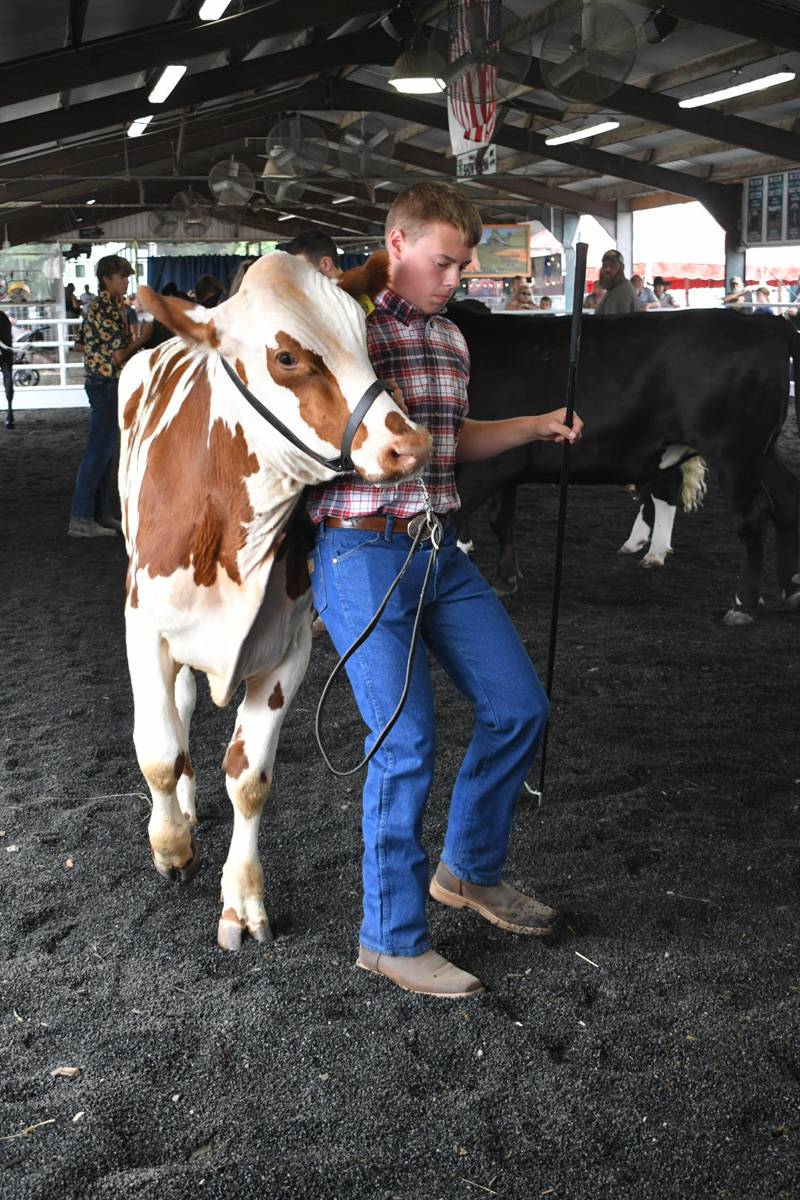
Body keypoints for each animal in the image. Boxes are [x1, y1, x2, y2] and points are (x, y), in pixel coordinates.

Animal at [118, 253, 431, 945]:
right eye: (287, 357)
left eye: (366, 338)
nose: (411, 446)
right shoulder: (143, 626)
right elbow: (158, 753)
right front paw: (171, 847)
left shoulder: (287, 651)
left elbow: (251, 780)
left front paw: (242, 900)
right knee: (179, 713)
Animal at [450, 307, 800, 628]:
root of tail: (763, 321)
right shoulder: (506, 466)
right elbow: (500, 519)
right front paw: (505, 579)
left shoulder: (488, 466)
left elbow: (456, 517)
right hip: (763, 452)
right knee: (786, 499)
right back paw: (790, 586)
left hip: (733, 451)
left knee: (754, 514)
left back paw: (743, 603)